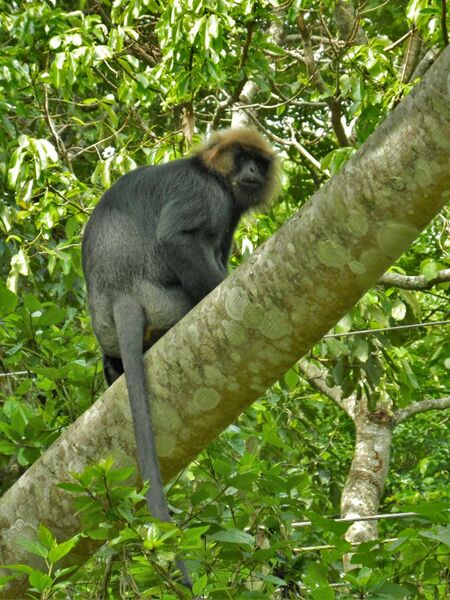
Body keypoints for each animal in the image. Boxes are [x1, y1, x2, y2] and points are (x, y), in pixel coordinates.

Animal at [81, 127, 278, 584]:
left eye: (259, 164)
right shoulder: (208, 194)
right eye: (242, 158)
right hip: (166, 303)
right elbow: (179, 239)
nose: (250, 172)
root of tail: (122, 296)